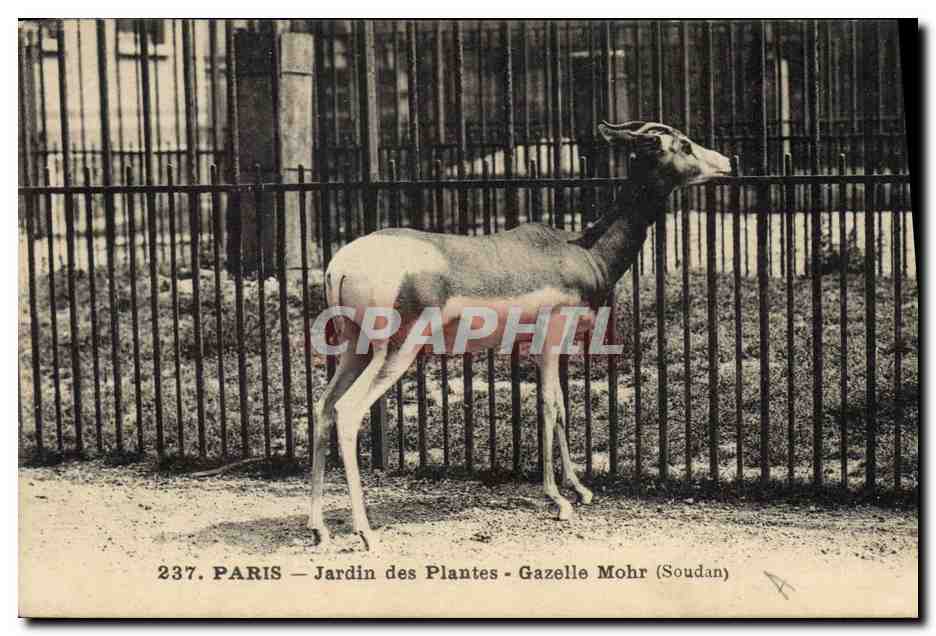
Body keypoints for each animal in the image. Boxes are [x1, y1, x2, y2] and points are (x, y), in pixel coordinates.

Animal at [309, 121, 731, 551]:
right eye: (683, 144)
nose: (727, 162)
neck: (584, 251)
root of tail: (339, 265)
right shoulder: (551, 337)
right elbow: (548, 405)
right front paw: (558, 500)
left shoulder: (544, 347)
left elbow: (561, 406)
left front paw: (580, 489)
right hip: (396, 351)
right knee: (348, 412)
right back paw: (364, 531)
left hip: (355, 349)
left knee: (324, 407)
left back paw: (319, 527)